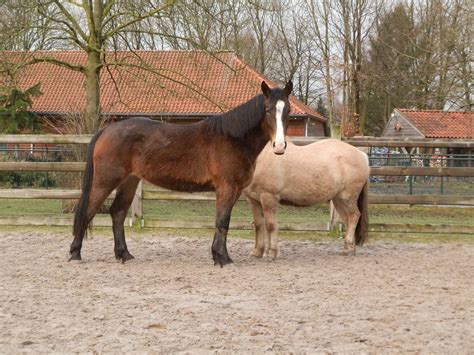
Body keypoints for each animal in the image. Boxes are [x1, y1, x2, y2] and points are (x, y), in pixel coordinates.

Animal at [70, 80, 292, 268]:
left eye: (287, 111)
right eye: (268, 110)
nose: (280, 146)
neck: (234, 138)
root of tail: (106, 131)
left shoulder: (235, 190)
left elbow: (222, 221)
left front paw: (219, 255)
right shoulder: (226, 187)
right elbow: (222, 222)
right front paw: (222, 258)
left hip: (129, 181)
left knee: (117, 212)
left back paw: (124, 255)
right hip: (105, 181)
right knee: (88, 211)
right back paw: (75, 253)